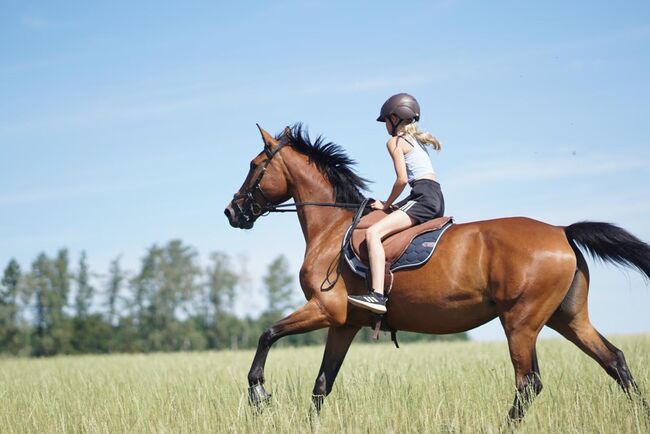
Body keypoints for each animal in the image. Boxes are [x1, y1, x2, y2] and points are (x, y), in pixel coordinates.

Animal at [224, 124, 648, 422]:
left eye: (253, 166)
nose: (231, 212)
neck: (333, 228)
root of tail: (561, 231)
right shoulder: (344, 323)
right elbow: (321, 385)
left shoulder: (325, 309)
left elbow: (267, 334)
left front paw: (258, 395)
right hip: (567, 318)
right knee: (615, 361)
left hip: (521, 322)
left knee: (529, 383)